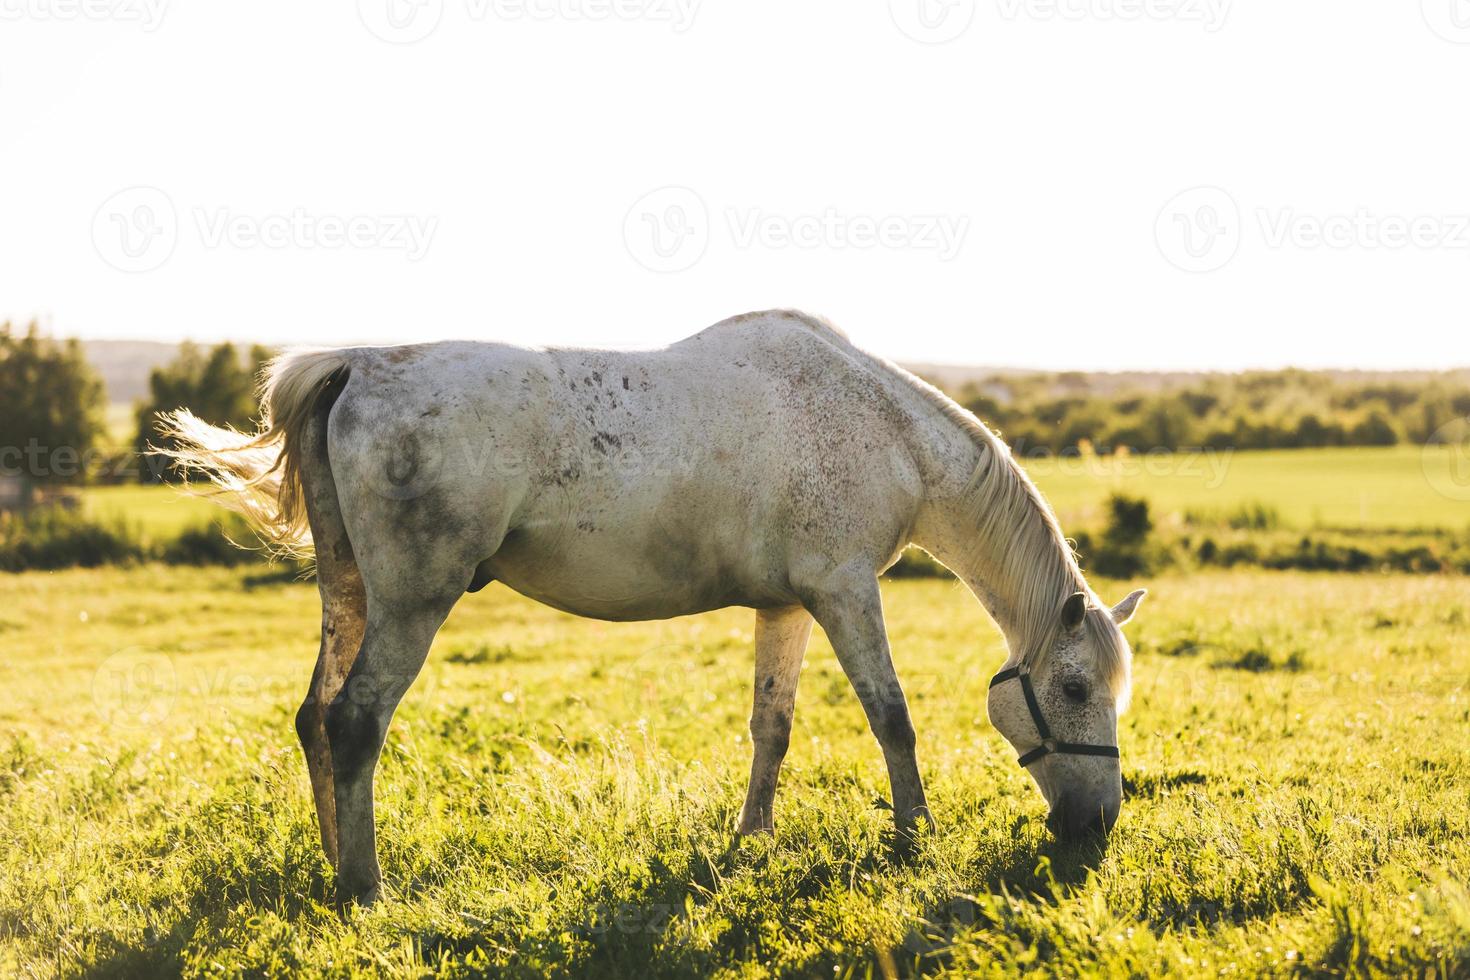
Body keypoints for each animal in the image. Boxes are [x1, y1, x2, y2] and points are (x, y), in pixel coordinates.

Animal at [163, 310, 1146, 910]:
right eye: (1071, 688)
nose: (1096, 826)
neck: (880, 426)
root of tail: (357, 365)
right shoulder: (843, 589)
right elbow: (891, 716)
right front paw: (915, 839)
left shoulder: (788, 607)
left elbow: (772, 728)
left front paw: (752, 840)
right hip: (412, 604)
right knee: (357, 721)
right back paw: (366, 887)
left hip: (353, 595)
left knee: (316, 719)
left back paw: (335, 867)